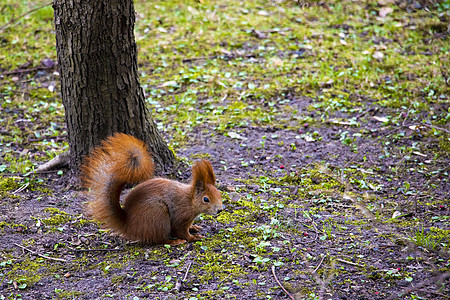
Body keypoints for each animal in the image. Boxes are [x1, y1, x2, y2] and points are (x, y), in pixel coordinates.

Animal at [80, 132, 223, 245]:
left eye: (220, 194)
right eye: (206, 199)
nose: (220, 210)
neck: (189, 200)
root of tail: (128, 224)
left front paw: (194, 227)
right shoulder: (180, 215)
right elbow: (180, 231)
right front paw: (193, 237)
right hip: (158, 214)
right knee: (159, 240)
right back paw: (174, 242)